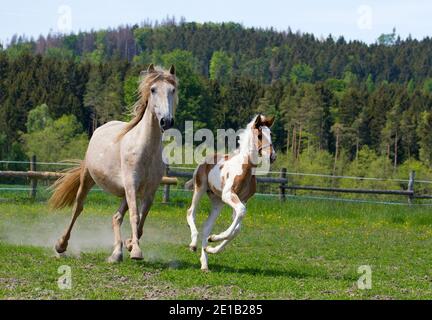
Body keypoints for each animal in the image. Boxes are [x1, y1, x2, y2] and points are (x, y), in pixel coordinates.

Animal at [49, 65, 178, 262]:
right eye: (153, 89)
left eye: (173, 90)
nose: (166, 121)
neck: (145, 150)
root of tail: (102, 126)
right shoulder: (131, 184)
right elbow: (135, 216)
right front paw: (136, 251)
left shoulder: (150, 190)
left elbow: (142, 219)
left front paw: (130, 244)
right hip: (88, 178)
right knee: (78, 207)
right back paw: (61, 245)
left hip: (124, 192)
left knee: (116, 217)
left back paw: (116, 253)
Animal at [186, 114, 276, 270]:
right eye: (259, 135)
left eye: (270, 134)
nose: (272, 156)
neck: (245, 169)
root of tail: (206, 160)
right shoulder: (229, 195)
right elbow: (241, 212)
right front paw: (215, 239)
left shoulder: (243, 199)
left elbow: (237, 228)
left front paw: (212, 244)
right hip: (200, 189)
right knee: (191, 212)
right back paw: (193, 245)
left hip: (218, 201)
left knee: (207, 226)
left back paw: (204, 262)